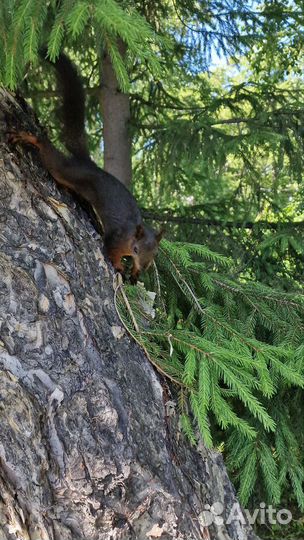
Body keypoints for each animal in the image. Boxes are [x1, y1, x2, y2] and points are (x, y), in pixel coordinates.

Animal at [8, 52, 163, 284]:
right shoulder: (116, 239)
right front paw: (119, 267)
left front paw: (134, 274)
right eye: (136, 249)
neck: (130, 235)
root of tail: (89, 164)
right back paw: (31, 138)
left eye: (153, 255)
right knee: (53, 158)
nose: (142, 267)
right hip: (67, 171)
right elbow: (111, 251)